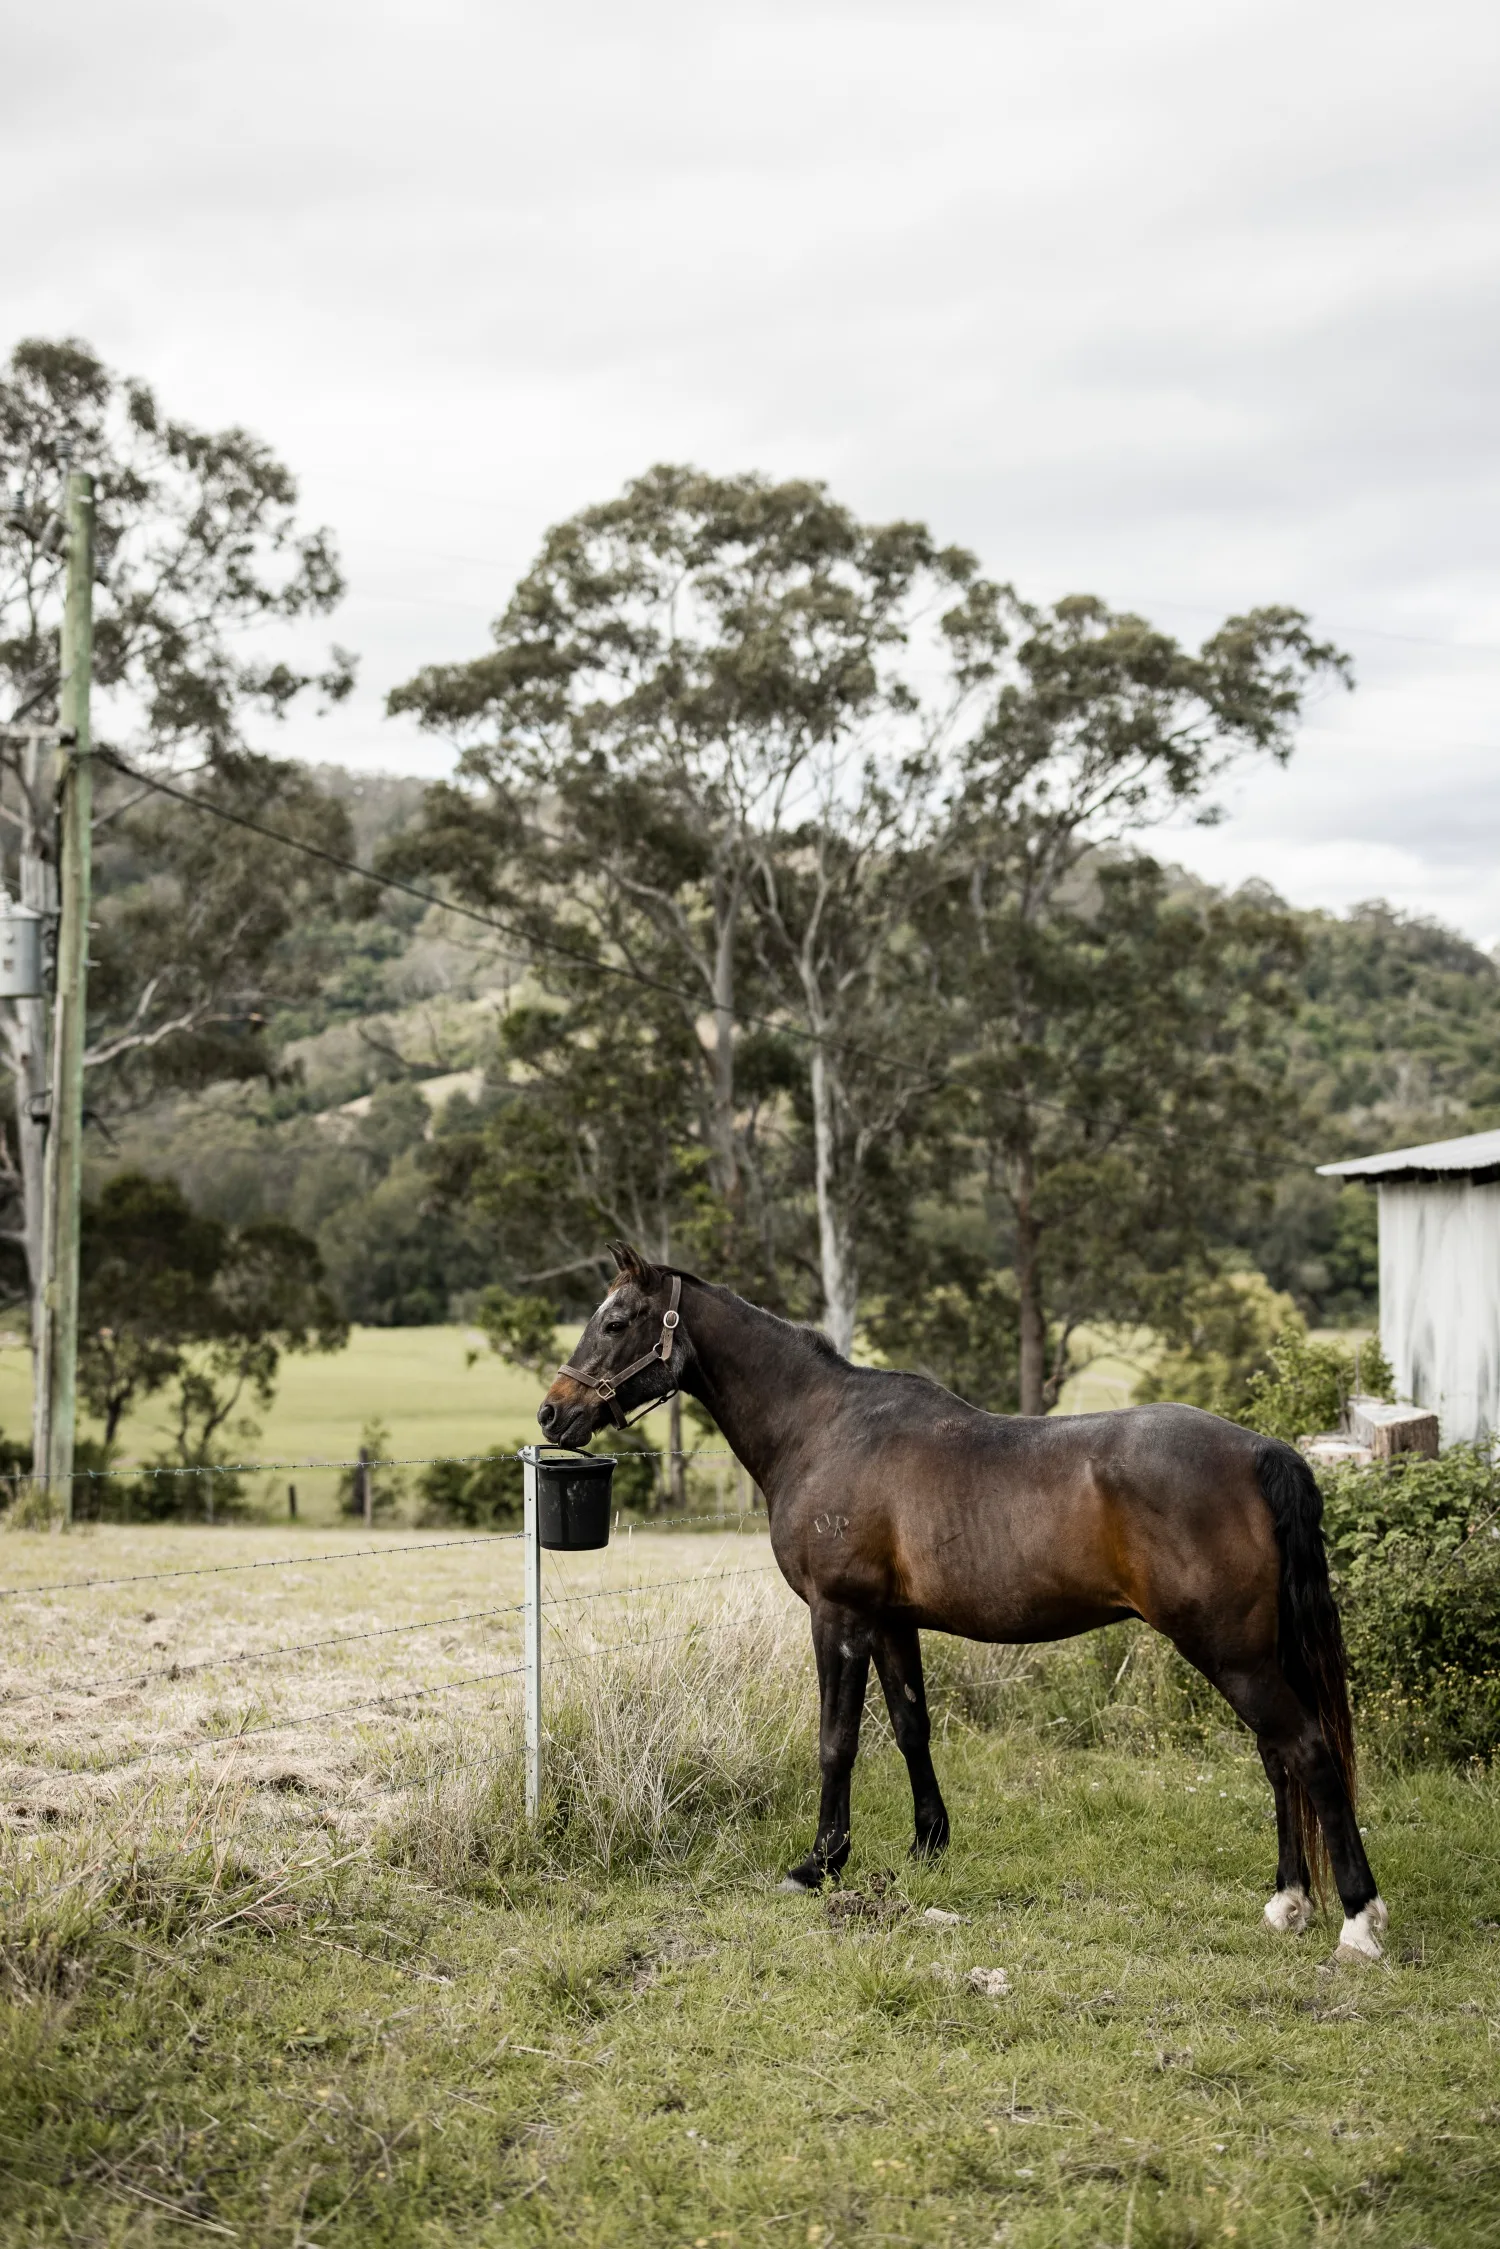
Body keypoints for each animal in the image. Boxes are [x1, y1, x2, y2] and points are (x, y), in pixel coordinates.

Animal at [532, 1241, 1394, 1961]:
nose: (552, 1410)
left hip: (1233, 1652)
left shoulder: (838, 1616)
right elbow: (911, 1727)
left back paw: (1357, 1919)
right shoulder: (890, 1622)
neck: (825, 1426)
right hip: (1253, 1652)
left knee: (1308, 1752)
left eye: (616, 1320)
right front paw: (927, 1845)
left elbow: (837, 1740)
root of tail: (1258, 1449)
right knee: (1280, 1759)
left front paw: (820, 1861)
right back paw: (1289, 1901)